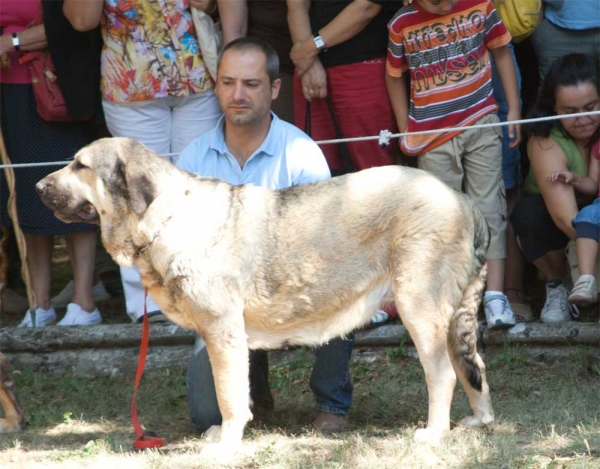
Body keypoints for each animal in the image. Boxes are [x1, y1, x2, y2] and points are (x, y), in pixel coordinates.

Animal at [38, 138, 496, 454]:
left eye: (80, 165)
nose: (40, 185)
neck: (163, 216)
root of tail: (462, 199)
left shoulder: (222, 330)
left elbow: (227, 394)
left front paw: (225, 447)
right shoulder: (228, 337)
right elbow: (235, 389)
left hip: (418, 307)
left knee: (443, 372)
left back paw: (434, 434)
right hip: (449, 316)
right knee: (472, 364)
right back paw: (481, 421)